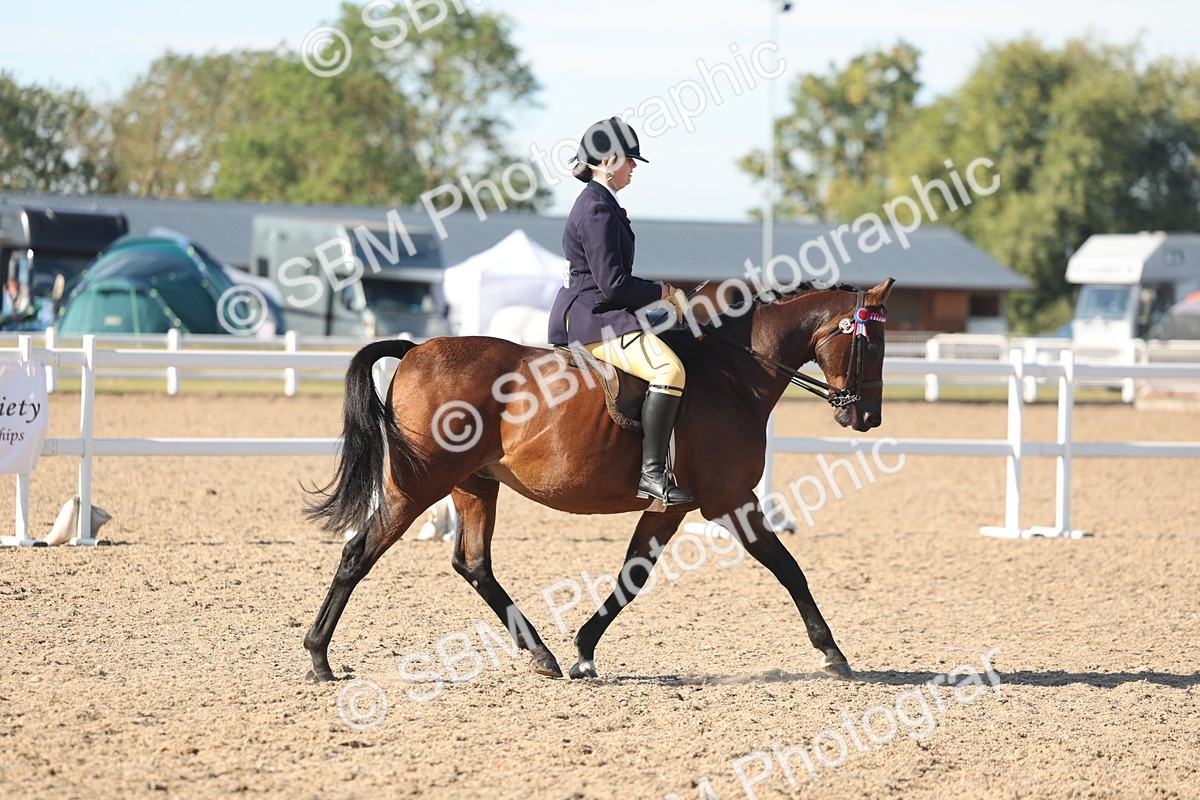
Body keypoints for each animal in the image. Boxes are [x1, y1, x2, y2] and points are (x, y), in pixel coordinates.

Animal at [303, 277, 895, 682]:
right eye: (872, 345)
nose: (868, 417)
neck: (732, 375)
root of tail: (415, 349)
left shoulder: (671, 507)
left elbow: (633, 575)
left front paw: (584, 650)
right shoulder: (730, 499)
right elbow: (789, 569)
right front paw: (833, 653)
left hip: (474, 483)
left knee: (473, 564)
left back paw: (541, 654)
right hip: (419, 485)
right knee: (359, 552)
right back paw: (319, 655)